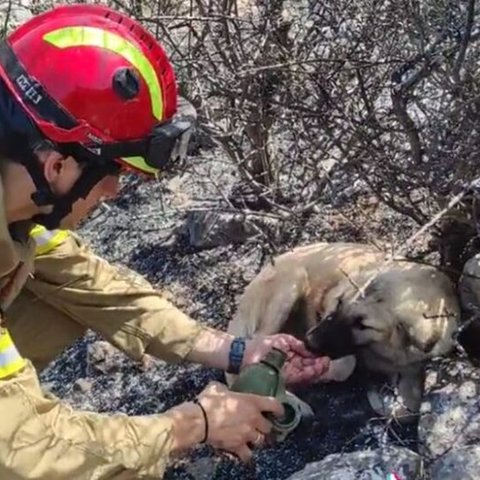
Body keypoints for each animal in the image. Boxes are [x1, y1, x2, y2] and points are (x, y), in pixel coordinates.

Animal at [228, 244, 462, 420]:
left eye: (362, 324)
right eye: (340, 302)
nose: (309, 341)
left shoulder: (414, 365)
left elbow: (409, 408)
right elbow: (346, 365)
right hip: (292, 284)